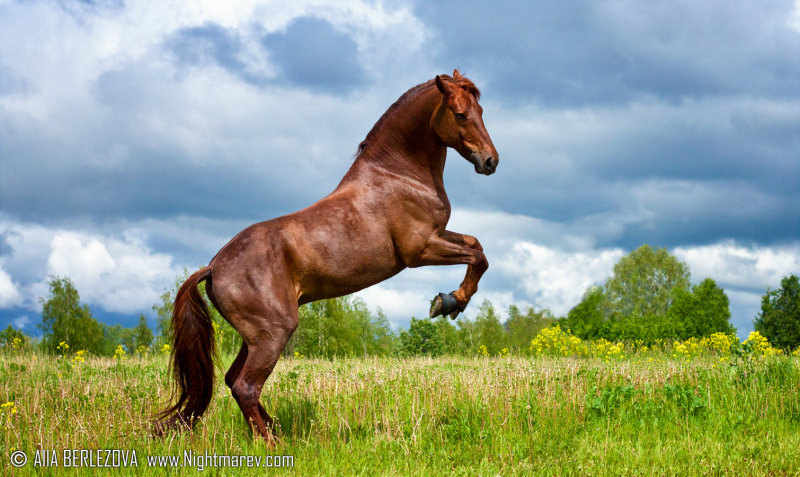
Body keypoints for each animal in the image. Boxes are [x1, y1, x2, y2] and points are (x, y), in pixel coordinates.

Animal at [156, 69, 500, 440]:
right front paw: (449, 302)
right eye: (460, 114)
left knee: (234, 380)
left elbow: (477, 246)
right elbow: (478, 257)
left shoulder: (439, 236)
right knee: (246, 385)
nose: (490, 161)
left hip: (255, 336)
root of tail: (213, 266)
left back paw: (275, 430)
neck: (399, 175)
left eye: (481, 112)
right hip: (273, 332)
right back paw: (271, 443)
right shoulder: (420, 249)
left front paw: (450, 301)